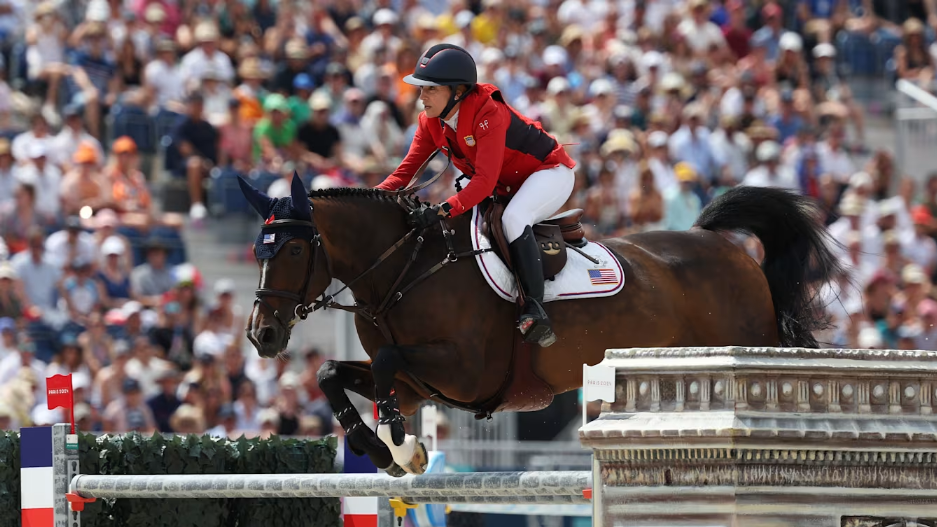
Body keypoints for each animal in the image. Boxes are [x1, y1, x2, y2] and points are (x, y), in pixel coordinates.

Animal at [239, 175, 840, 476]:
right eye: (256, 250)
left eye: (294, 249)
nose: (261, 335)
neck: (403, 269)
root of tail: (724, 246)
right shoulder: (418, 383)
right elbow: (331, 375)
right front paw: (383, 448)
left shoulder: (465, 372)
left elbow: (385, 364)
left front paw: (396, 440)